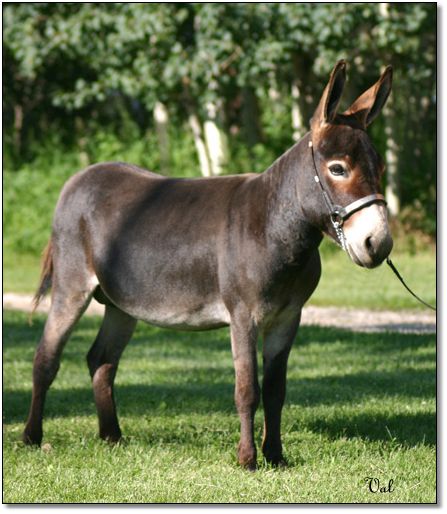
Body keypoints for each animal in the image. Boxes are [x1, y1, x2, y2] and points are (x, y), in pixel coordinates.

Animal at [23, 61, 393, 470]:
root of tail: (80, 176)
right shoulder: (244, 315)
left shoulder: (287, 317)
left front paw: (276, 456)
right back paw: (32, 438)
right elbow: (247, 389)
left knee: (101, 359)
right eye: (338, 169)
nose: (378, 243)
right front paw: (247, 459)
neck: (275, 224)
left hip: (121, 303)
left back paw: (112, 437)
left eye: (379, 167)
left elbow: (276, 390)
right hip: (73, 287)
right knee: (46, 358)